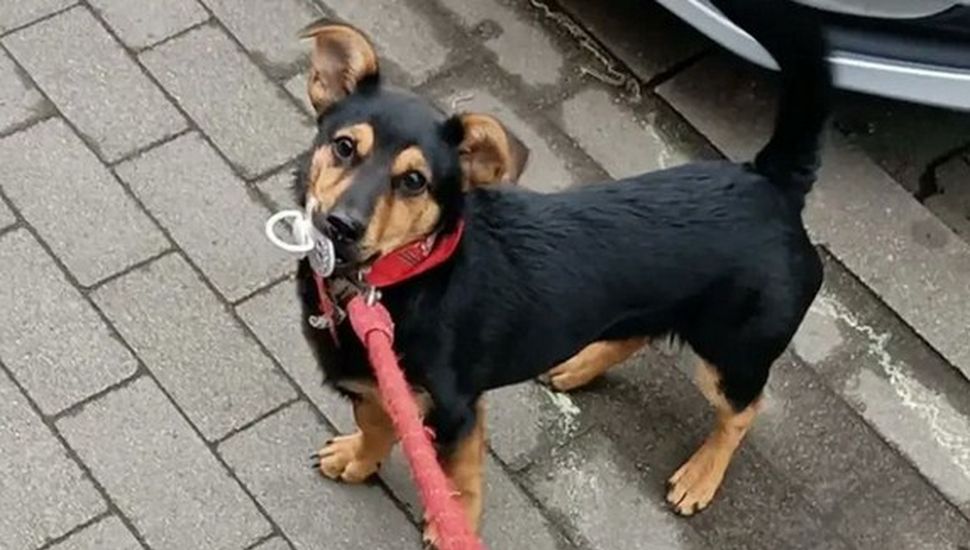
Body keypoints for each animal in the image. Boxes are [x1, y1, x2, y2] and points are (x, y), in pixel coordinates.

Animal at [300, 0, 832, 544]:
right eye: (344, 147)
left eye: (413, 181)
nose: (340, 225)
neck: (400, 277)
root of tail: (771, 182)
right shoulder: (375, 385)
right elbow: (376, 423)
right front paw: (359, 458)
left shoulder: (457, 410)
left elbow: (458, 478)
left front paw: (453, 523)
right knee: (640, 332)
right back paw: (579, 365)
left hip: (731, 352)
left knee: (743, 411)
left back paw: (701, 475)